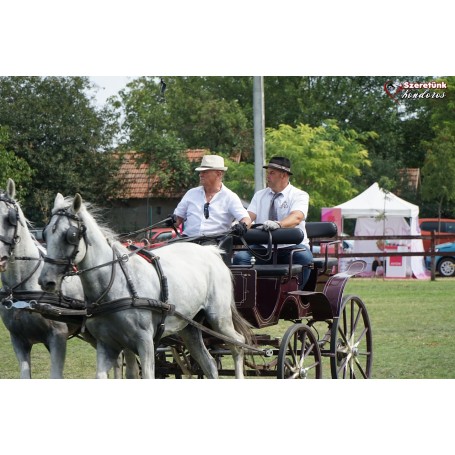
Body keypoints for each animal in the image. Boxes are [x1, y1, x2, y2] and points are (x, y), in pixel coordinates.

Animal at [39, 191, 253, 378]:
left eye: (71, 236)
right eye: (45, 234)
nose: (45, 281)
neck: (114, 284)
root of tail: (212, 251)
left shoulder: (145, 342)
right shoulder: (107, 345)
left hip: (219, 318)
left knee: (238, 344)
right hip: (190, 326)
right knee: (209, 365)